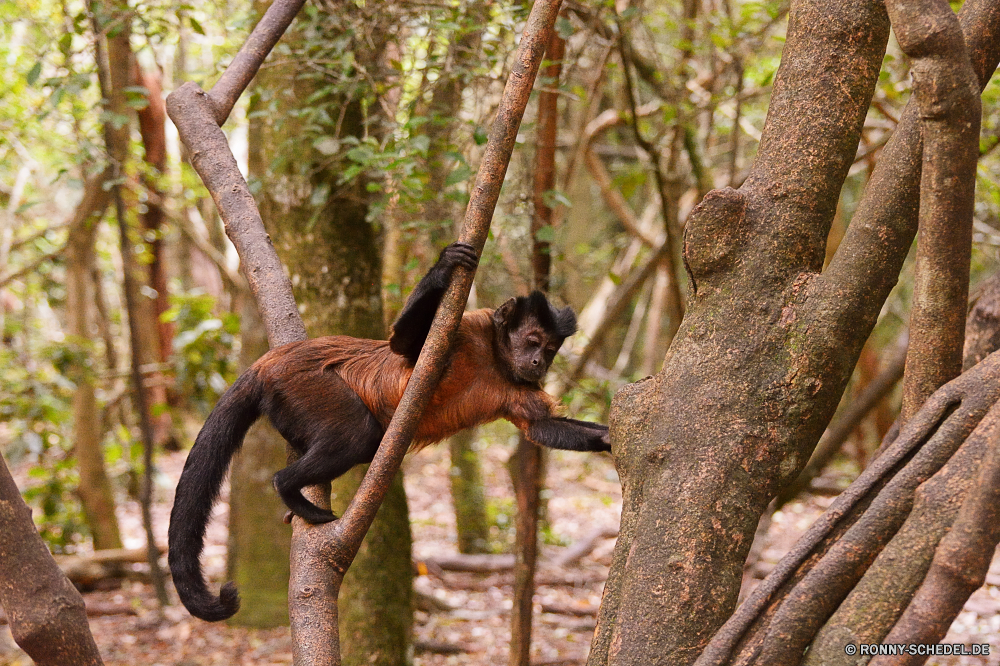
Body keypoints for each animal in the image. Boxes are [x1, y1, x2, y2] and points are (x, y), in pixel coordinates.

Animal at [168, 241, 608, 620]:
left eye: (549, 349)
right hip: (304, 384)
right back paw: (288, 487)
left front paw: (608, 437)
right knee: (358, 437)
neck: (495, 358)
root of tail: (269, 361)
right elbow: (404, 346)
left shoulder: (519, 385)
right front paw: (445, 265)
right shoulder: (469, 328)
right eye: (533, 341)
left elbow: (540, 426)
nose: (538, 362)